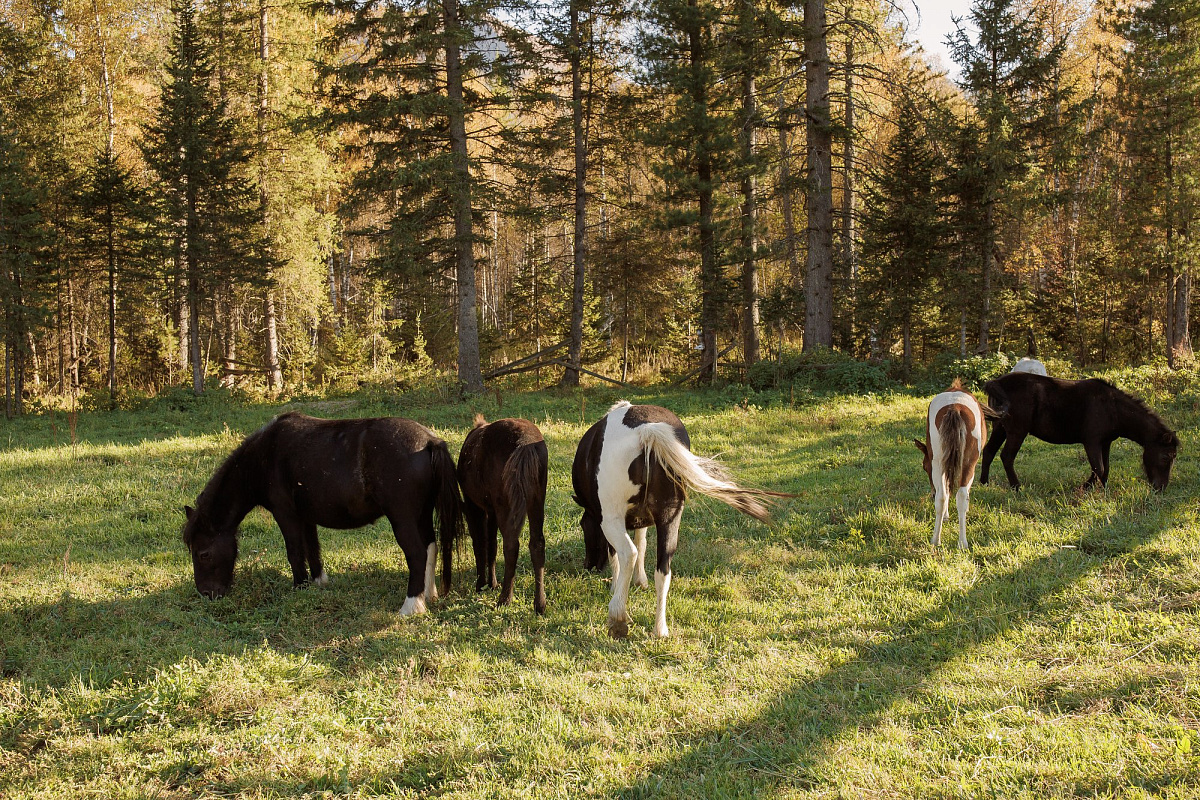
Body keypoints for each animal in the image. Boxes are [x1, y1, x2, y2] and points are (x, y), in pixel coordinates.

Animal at [182, 412, 461, 615]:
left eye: (203, 554)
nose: (207, 594)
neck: (264, 455)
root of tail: (429, 442)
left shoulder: (286, 515)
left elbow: (295, 552)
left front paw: (299, 587)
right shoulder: (306, 517)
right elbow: (312, 550)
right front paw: (317, 583)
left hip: (402, 518)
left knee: (416, 553)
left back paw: (411, 606)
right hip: (421, 515)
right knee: (431, 547)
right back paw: (427, 595)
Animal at [457, 415, 549, 614]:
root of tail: (525, 444)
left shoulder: (474, 505)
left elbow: (480, 545)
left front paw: (481, 584)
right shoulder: (490, 510)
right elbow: (491, 545)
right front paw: (491, 583)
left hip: (504, 503)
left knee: (511, 544)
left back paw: (505, 599)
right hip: (536, 499)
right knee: (537, 543)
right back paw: (540, 603)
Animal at [571, 401, 786, 639]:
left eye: (584, 527)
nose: (588, 566)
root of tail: (647, 431)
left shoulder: (606, 519)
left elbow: (620, 553)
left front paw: (616, 586)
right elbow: (642, 542)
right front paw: (640, 581)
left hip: (613, 519)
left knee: (629, 553)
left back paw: (618, 618)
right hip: (669, 519)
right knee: (663, 570)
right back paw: (660, 630)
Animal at [913, 380, 993, 549]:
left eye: (924, 467)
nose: (931, 493)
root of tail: (955, 407)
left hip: (939, 463)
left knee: (942, 497)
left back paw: (936, 540)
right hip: (968, 464)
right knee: (960, 496)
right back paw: (962, 542)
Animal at [980, 372, 1179, 492]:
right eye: (1165, 456)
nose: (1161, 488)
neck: (1113, 408)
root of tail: (998, 382)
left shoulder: (1105, 442)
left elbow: (1104, 468)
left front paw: (1099, 489)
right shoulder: (1091, 441)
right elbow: (1099, 468)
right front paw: (1089, 488)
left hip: (1000, 428)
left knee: (989, 452)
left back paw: (984, 483)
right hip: (1017, 431)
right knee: (1006, 457)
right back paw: (1016, 487)